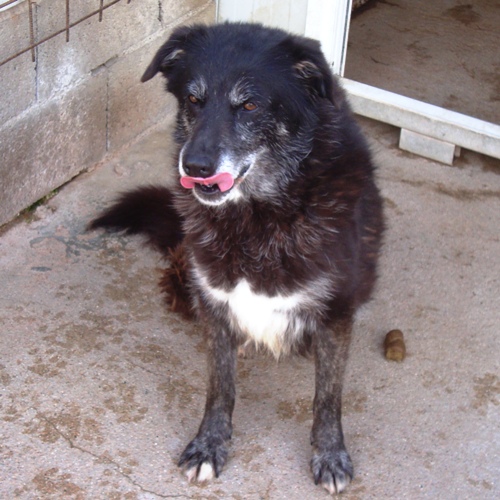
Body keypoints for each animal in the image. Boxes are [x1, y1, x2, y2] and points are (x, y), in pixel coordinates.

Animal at [90, 22, 384, 495]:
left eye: (249, 105)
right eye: (194, 99)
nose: (194, 166)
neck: (256, 218)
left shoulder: (336, 311)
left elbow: (327, 396)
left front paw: (330, 454)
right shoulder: (213, 301)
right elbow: (219, 386)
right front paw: (209, 444)